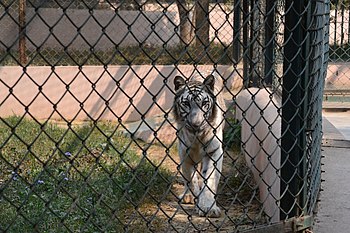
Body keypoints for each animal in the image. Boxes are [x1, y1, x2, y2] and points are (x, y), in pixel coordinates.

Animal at [173, 73, 227, 218]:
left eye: (204, 103)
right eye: (186, 104)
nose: (196, 125)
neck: (197, 137)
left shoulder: (214, 151)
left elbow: (209, 179)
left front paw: (208, 207)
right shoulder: (185, 154)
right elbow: (190, 179)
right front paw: (193, 196)